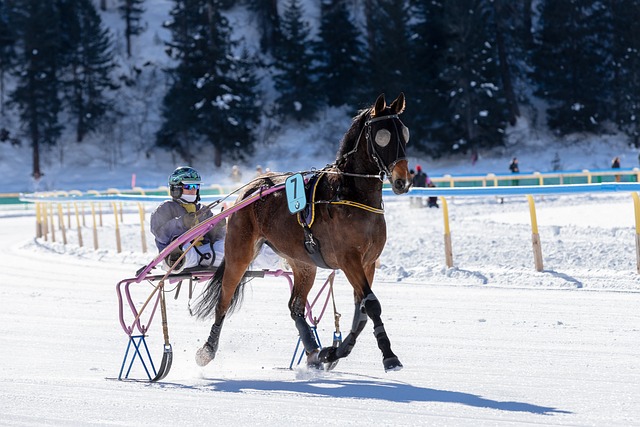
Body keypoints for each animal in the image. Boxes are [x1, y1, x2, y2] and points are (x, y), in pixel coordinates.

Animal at [192, 93, 410, 372]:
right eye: (383, 135)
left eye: (404, 133)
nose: (402, 180)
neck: (350, 193)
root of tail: (254, 187)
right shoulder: (349, 260)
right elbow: (371, 304)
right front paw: (389, 356)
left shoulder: (368, 262)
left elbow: (361, 311)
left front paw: (334, 352)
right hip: (239, 252)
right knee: (224, 300)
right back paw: (207, 350)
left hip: (303, 262)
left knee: (295, 307)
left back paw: (314, 352)